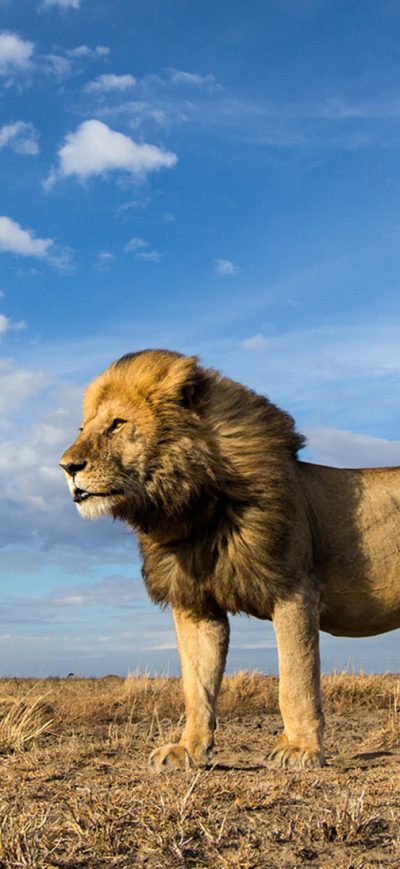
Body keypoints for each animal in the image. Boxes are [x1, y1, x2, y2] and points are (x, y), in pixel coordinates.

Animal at [60, 349, 400, 771]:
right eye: (82, 428)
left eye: (117, 424)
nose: (67, 467)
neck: (194, 506)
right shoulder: (195, 605)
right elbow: (197, 686)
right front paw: (188, 750)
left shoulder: (295, 590)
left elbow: (296, 680)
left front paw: (300, 749)